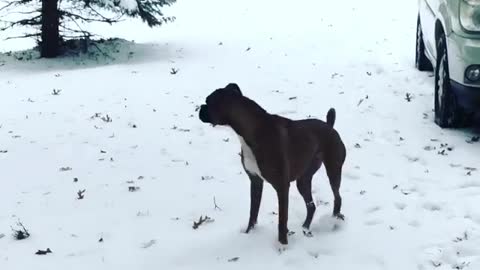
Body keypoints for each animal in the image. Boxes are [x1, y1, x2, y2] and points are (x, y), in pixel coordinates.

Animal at [198, 83, 344, 246]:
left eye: (208, 101)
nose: (200, 108)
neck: (252, 130)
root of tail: (330, 126)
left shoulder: (282, 187)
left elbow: (282, 220)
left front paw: (283, 245)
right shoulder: (255, 181)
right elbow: (253, 213)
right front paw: (249, 234)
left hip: (333, 170)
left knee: (337, 197)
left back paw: (335, 221)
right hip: (303, 180)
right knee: (311, 206)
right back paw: (305, 228)